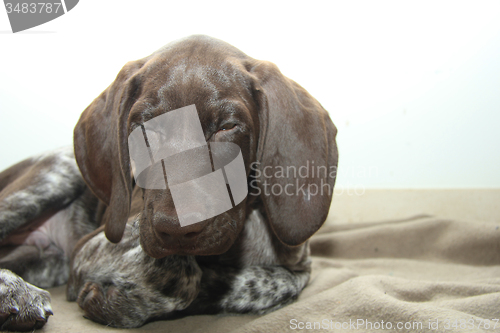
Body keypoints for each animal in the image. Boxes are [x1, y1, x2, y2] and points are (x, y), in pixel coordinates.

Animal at [0, 34, 338, 330]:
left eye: (228, 127)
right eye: (145, 127)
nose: (176, 228)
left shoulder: (300, 263)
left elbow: (279, 281)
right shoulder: (90, 248)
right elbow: (183, 272)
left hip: (46, 258)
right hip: (56, 173)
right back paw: (15, 292)